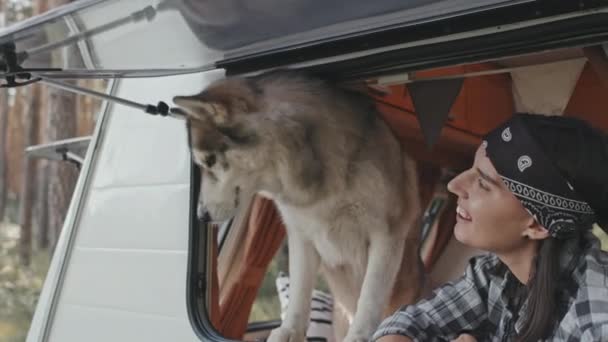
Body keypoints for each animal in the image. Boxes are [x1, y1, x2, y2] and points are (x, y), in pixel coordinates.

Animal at [173, 71, 426, 340]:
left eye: (209, 161)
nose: (201, 216)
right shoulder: (301, 235)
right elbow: (299, 291)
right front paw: (288, 331)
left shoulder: (386, 234)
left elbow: (370, 296)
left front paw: (360, 335)